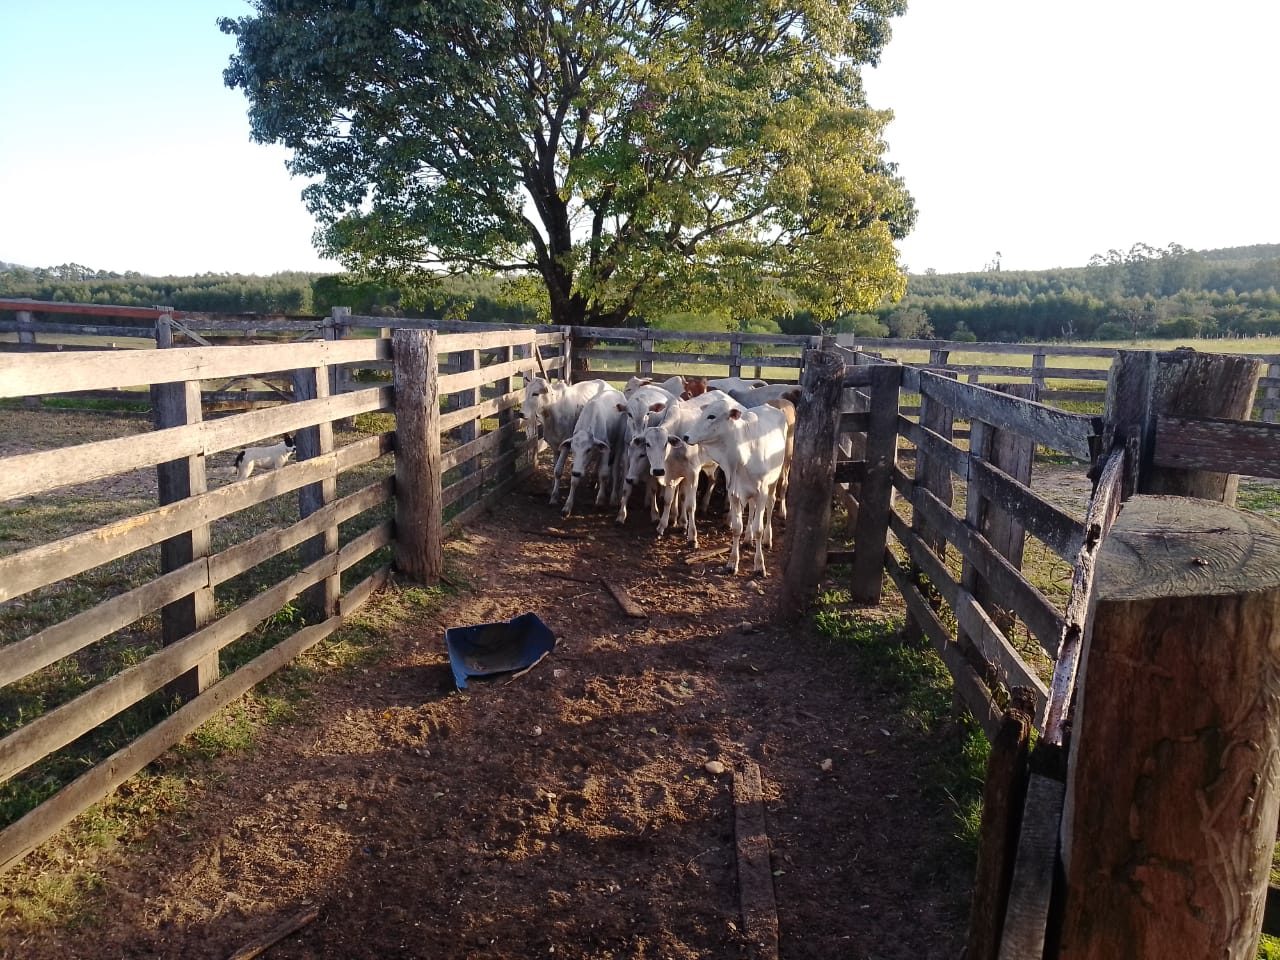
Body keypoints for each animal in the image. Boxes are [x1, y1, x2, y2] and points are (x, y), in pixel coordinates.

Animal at [686, 394, 783, 576]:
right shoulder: (734, 492)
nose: (686, 436)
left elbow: (759, 528)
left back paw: (767, 539)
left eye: (712, 416)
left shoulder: (761, 492)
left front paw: (759, 565)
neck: (743, 455)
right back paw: (747, 539)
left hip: (774, 480)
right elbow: (737, 527)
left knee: (770, 505)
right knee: (751, 509)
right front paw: (732, 563)